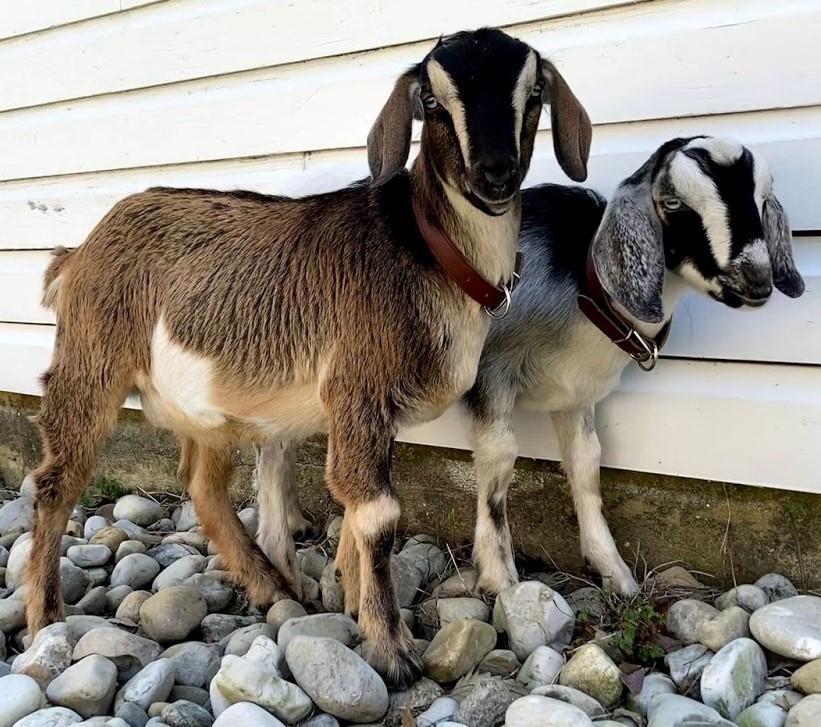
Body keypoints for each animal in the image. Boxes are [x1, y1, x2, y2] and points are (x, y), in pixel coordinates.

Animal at [25, 29, 588, 688]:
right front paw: (392, 650)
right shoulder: (356, 389)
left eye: (534, 93)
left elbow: (354, 506)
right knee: (57, 477)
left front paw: (347, 593)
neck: (427, 252)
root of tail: (79, 251)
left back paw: (270, 587)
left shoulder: (367, 414)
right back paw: (45, 618)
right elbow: (378, 513)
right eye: (431, 101)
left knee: (203, 485)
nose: (495, 174)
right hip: (90, 361)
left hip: (204, 408)